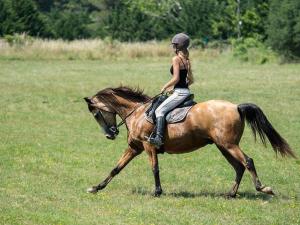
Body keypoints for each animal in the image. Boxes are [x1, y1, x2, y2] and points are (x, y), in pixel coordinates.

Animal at [82, 85, 296, 197]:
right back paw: (230, 194)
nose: (110, 134)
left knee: (248, 161)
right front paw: (96, 187)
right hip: (223, 146)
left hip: (228, 145)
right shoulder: (134, 148)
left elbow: (155, 168)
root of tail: (235, 106)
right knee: (239, 167)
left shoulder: (148, 146)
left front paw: (158, 191)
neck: (138, 112)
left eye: (96, 114)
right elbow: (116, 168)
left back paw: (263, 188)